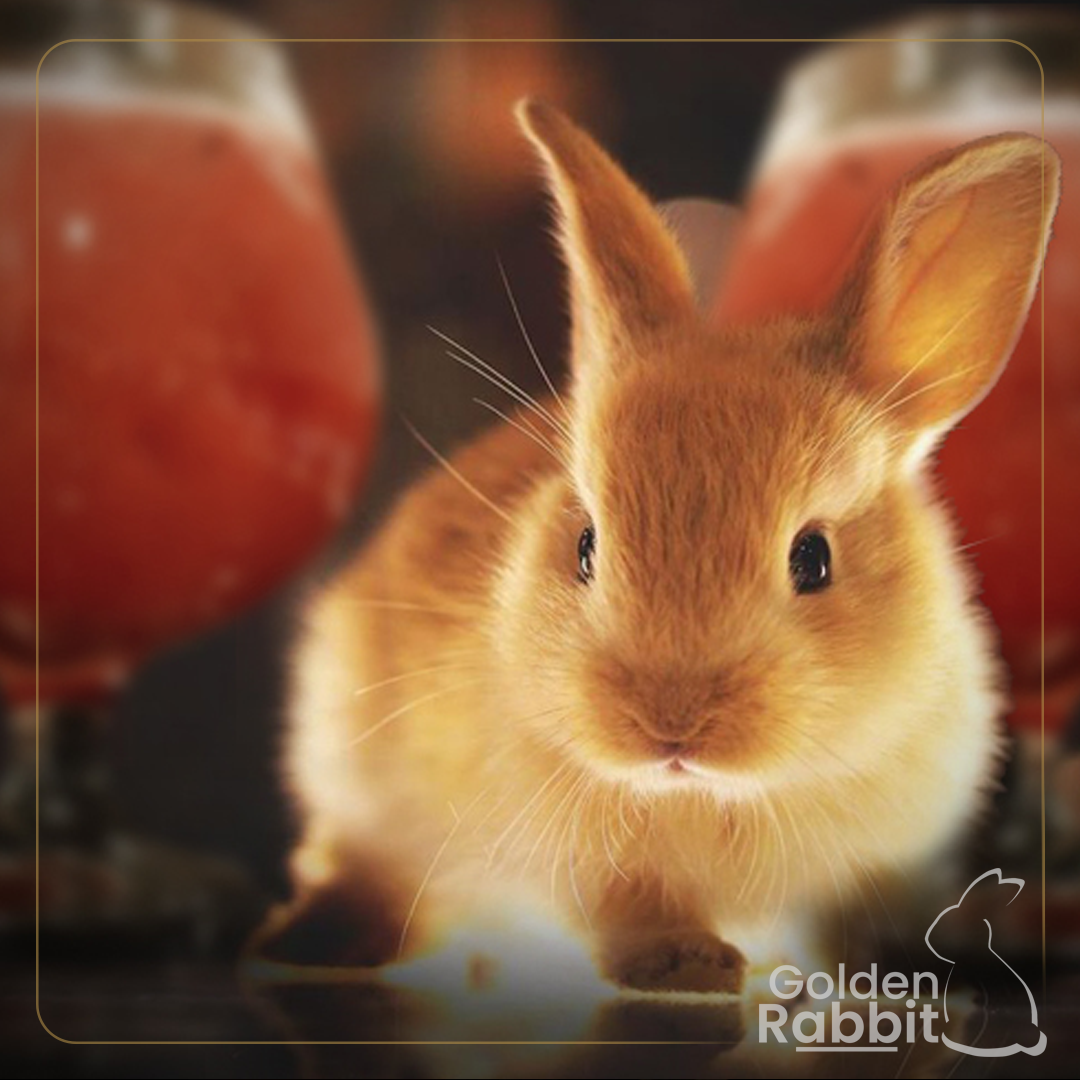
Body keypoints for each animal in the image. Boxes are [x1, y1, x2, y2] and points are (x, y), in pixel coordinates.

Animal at [254, 100, 1060, 995]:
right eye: (585, 547)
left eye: (812, 558)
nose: (669, 725)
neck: (713, 793)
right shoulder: (591, 867)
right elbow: (633, 909)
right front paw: (690, 964)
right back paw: (317, 940)